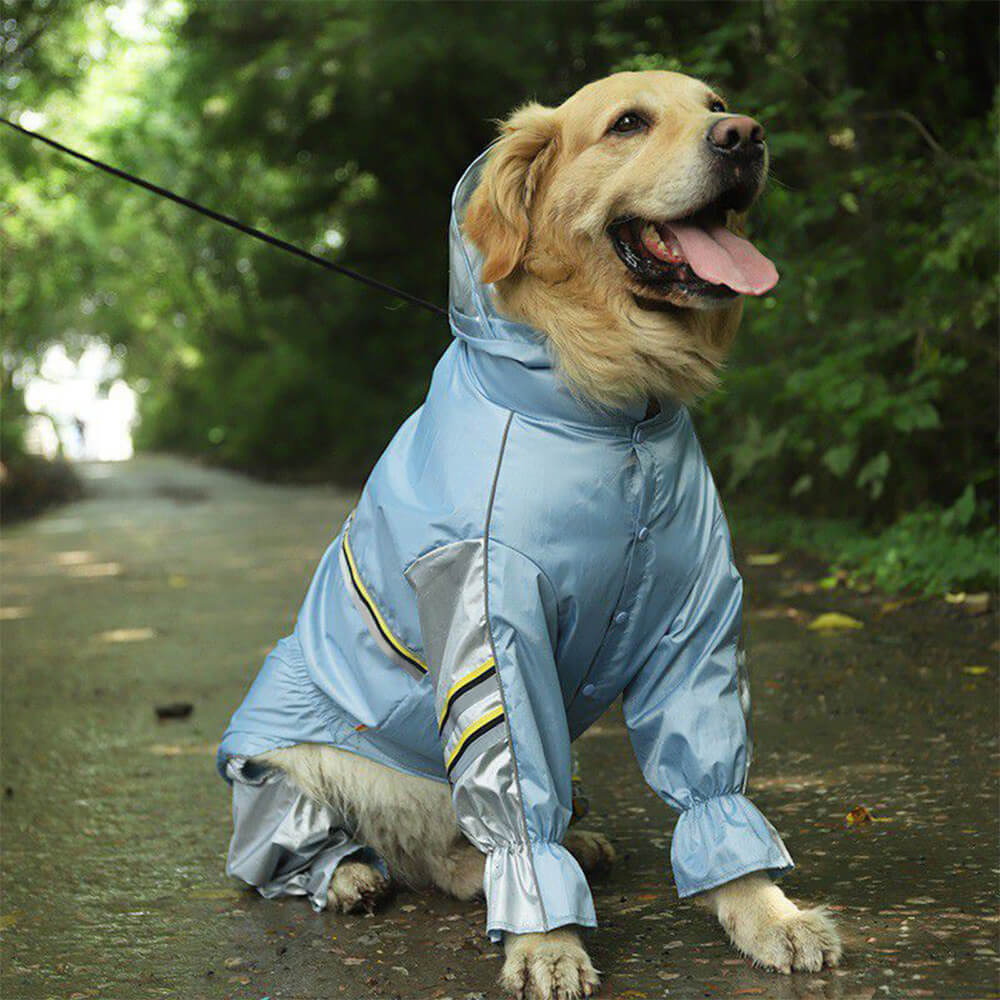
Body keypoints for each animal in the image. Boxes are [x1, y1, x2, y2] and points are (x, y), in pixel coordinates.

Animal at [258, 70, 836, 1000]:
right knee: (361, 844)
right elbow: (516, 806)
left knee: (443, 851)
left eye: (715, 104)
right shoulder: (492, 624)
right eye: (628, 122)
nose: (745, 136)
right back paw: (348, 875)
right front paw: (546, 942)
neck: (618, 418)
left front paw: (765, 914)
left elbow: (710, 779)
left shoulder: (698, 615)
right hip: (299, 759)